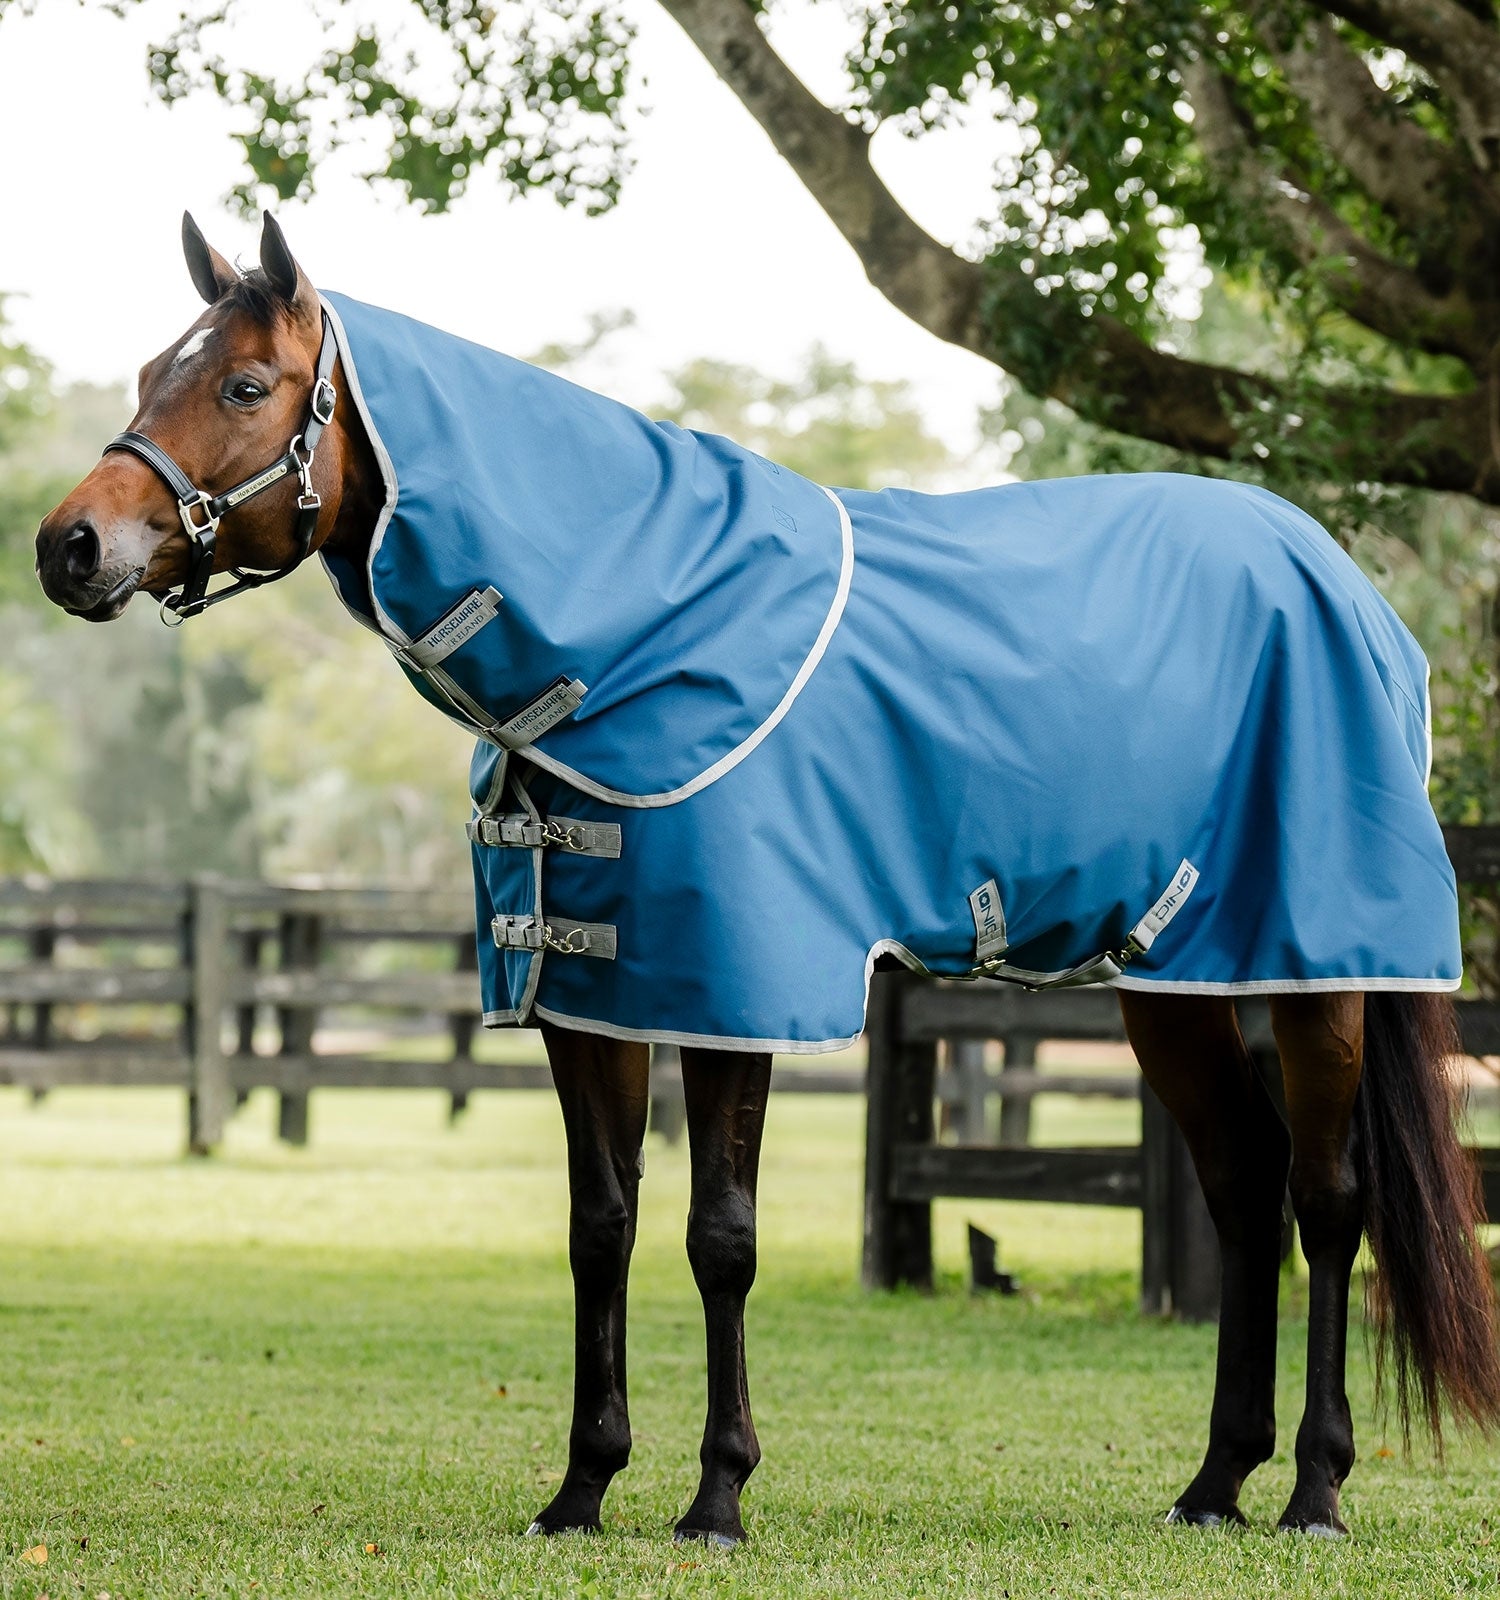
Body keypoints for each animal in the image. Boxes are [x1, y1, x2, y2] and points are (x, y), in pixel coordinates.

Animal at [33, 212, 1500, 1544]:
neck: (632, 630)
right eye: (149, 372)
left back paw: (1314, 1489)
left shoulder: (732, 992)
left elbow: (719, 1237)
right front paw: (581, 1491)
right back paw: (1213, 1483)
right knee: (1244, 1190)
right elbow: (603, 1226)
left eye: (243, 386)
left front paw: (718, 1496)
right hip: (1174, 982)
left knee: (1326, 1202)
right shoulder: (592, 999)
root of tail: (1353, 593)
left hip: (1320, 972)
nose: (68, 548)